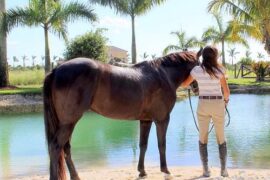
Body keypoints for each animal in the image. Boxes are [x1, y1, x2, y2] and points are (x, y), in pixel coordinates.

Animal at [43, 49, 201, 180]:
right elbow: (162, 144)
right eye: (202, 65)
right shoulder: (162, 119)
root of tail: (55, 70)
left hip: (68, 122)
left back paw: (76, 176)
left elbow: (143, 144)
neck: (164, 75)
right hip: (69, 122)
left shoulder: (146, 120)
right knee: (55, 147)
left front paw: (142, 171)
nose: (197, 89)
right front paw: (166, 171)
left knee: (65, 148)